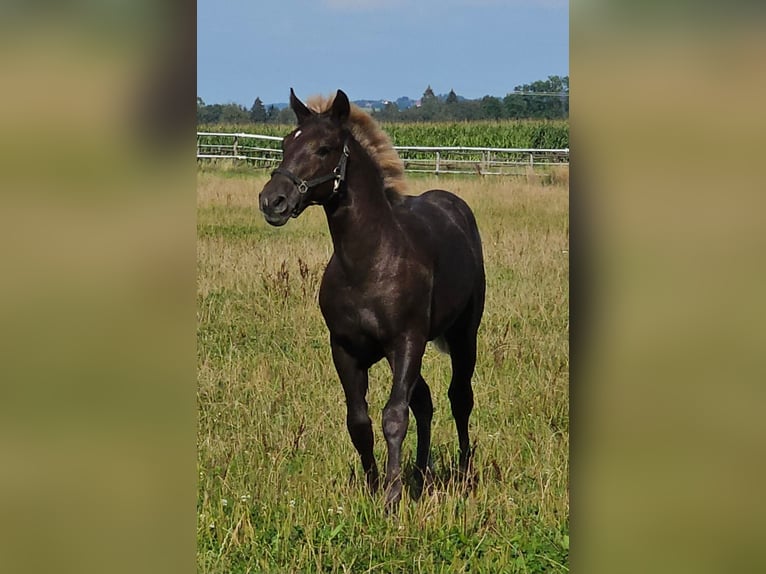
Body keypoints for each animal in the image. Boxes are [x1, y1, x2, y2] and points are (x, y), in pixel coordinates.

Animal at [258, 90, 486, 512]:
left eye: (324, 148)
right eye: (284, 144)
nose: (272, 201)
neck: (369, 261)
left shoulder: (406, 341)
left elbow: (394, 416)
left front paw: (392, 498)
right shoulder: (345, 349)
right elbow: (359, 421)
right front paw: (374, 485)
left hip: (464, 334)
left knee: (459, 397)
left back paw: (463, 471)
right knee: (425, 401)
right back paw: (421, 472)